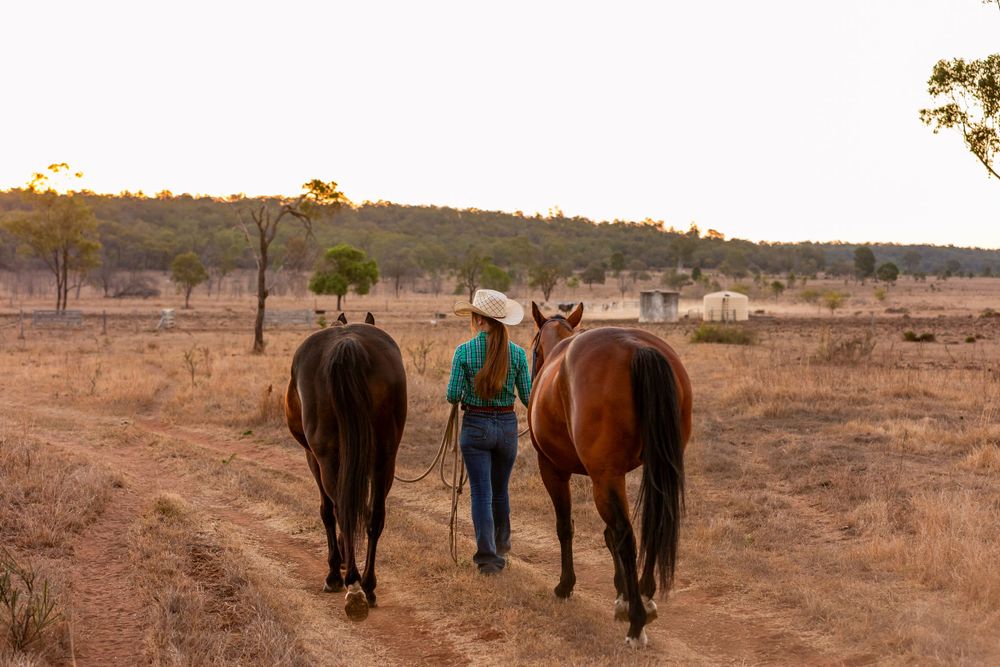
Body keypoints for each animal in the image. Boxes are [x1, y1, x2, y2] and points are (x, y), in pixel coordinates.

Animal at [284, 311, 407, 621]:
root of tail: (347, 344)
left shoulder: (313, 458)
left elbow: (327, 511)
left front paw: (334, 571)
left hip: (326, 456)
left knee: (340, 508)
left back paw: (349, 581)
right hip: (385, 458)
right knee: (374, 515)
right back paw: (368, 586)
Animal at [527, 302, 692, 647]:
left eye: (533, 351)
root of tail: (637, 348)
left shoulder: (554, 469)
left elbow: (566, 527)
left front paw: (566, 585)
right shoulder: (608, 475)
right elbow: (608, 533)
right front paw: (623, 594)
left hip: (602, 477)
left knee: (627, 536)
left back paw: (637, 623)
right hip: (646, 470)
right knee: (650, 527)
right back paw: (645, 596)